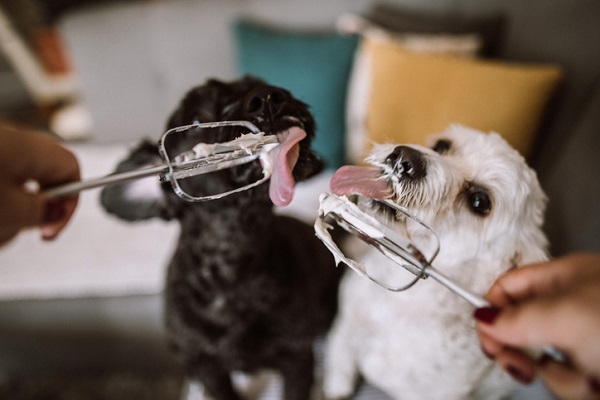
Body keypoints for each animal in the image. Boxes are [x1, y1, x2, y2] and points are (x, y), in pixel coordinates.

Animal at [324, 126, 548, 400]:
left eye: (479, 201)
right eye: (442, 145)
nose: (405, 158)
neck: (403, 302)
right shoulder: (344, 328)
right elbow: (339, 369)